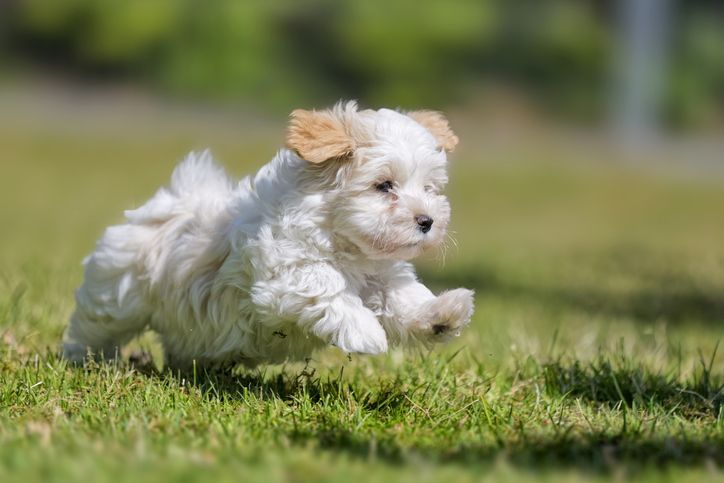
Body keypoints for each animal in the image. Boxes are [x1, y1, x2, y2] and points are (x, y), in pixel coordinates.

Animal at [63, 100, 476, 368]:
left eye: (429, 188)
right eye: (384, 186)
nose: (427, 221)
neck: (345, 242)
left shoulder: (383, 275)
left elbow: (404, 299)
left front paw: (442, 314)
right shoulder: (284, 271)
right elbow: (324, 283)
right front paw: (365, 331)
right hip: (117, 291)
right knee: (94, 327)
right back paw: (82, 361)